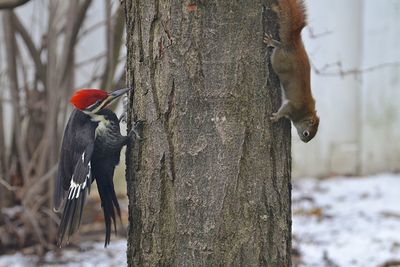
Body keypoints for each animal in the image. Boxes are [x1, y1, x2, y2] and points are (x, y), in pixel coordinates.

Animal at [264, 0, 320, 143]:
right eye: (306, 133)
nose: (304, 141)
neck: (305, 113)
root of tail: (293, 45)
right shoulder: (293, 108)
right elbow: (284, 110)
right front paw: (276, 117)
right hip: (277, 61)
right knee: (278, 47)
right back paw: (272, 42)